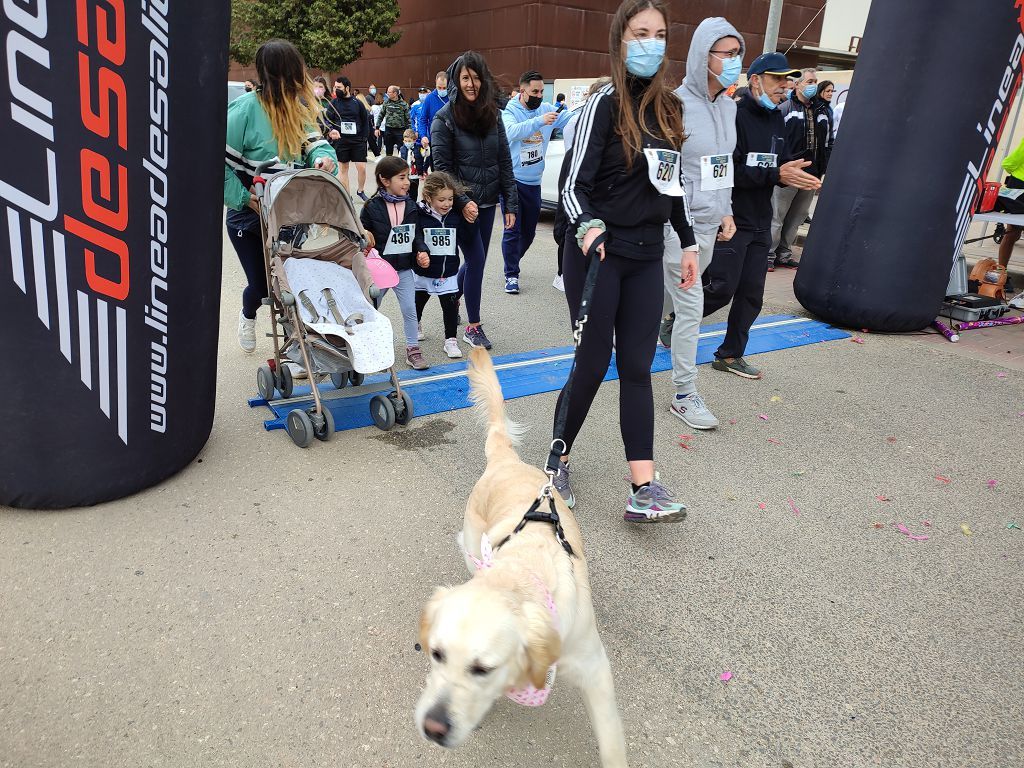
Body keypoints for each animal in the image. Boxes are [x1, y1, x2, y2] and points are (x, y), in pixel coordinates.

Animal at [413, 350, 622, 768]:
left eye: (482, 668)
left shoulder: (594, 668)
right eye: (437, 654)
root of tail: (505, 460)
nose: (433, 728)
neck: (521, 575)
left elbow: (611, 739)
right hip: (472, 541)